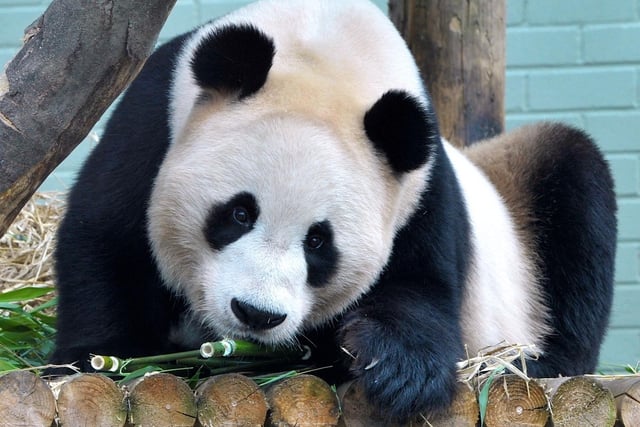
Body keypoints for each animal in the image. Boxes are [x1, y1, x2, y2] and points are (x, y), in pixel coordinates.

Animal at [50, 0, 616, 422]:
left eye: (319, 242)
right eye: (238, 214)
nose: (256, 314)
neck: (324, 53)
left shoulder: (418, 189)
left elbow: (422, 290)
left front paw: (396, 371)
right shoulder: (153, 121)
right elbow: (106, 241)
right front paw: (98, 358)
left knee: (578, 189)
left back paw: (542, 362)